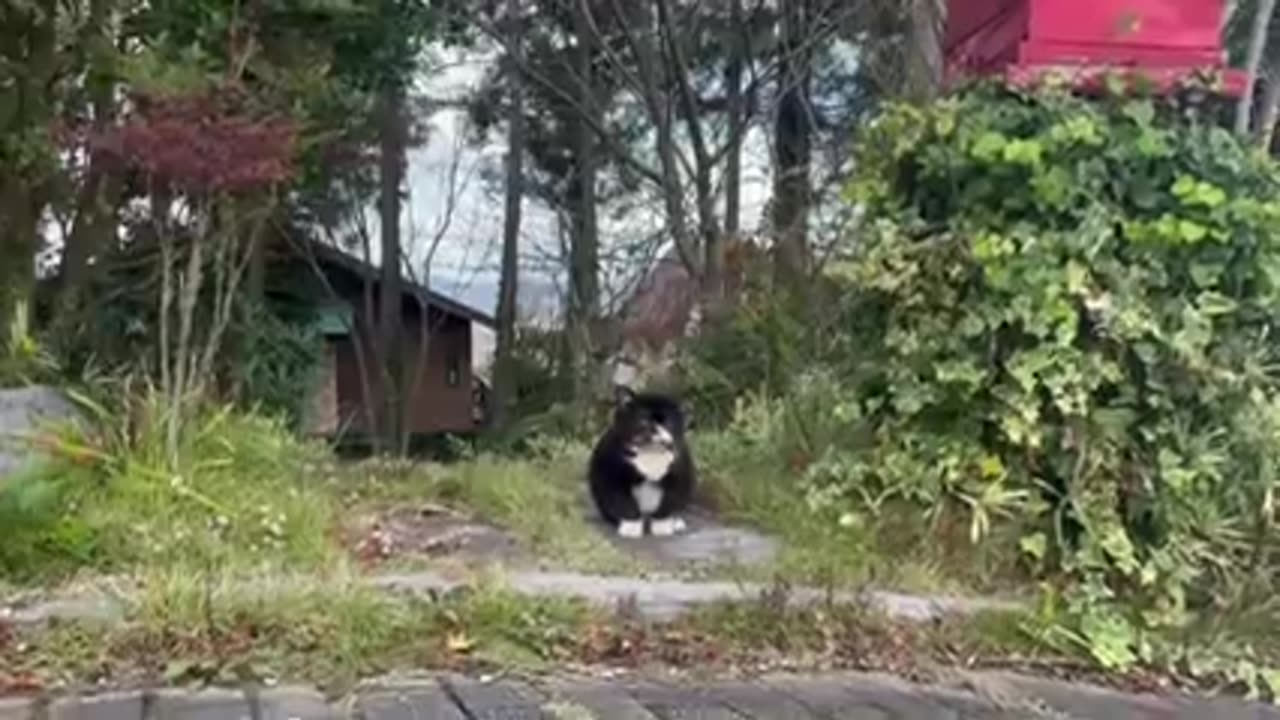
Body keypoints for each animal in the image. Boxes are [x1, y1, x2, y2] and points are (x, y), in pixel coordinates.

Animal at [591, 384, 701, 535]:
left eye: (667, 422)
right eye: (643, 420)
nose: (655, 431)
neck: (650, 453)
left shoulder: (679, 475)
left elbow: (669, 502)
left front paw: (662, 526)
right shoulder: (611, 474)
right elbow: (622, 501)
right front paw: (631, 527)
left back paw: (677, 522)